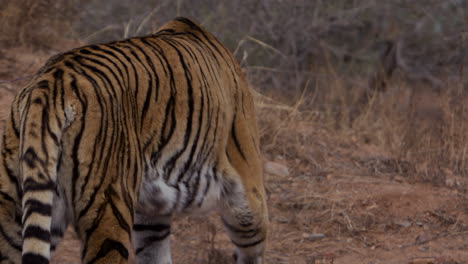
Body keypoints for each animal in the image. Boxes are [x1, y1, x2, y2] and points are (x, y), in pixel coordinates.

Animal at [0, 17, 268, 264]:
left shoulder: (152, 218)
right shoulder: (249, 184)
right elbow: (252, 240)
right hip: (108, 209)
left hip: (15, 210)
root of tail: (52, 81)